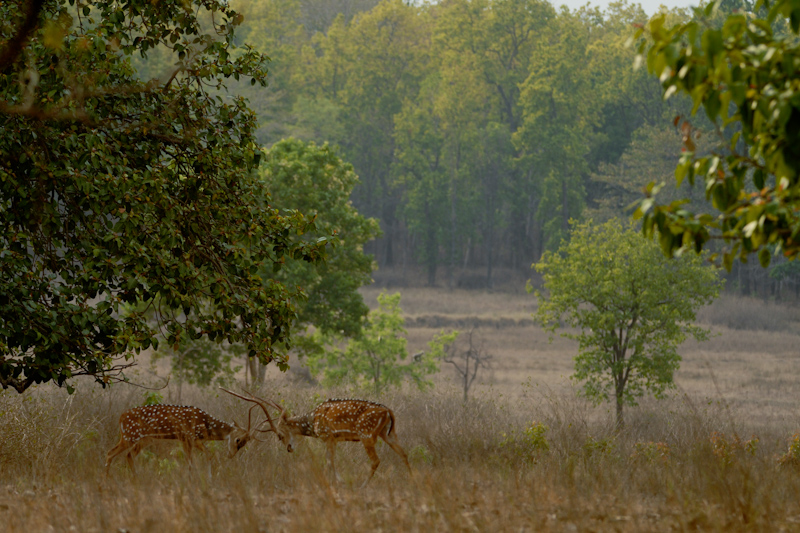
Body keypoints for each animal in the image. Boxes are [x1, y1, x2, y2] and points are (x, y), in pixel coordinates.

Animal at [104, 404, 260, 474]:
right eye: (238, 440)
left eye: (245, 443)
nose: (231, 455)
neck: (204, 424)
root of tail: (121, 417)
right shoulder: (188, 437)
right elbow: (190, 462)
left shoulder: (191, 440)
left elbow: (209, 455)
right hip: (130, 436)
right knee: (110, 452)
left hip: (144, 439)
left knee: (128, 455)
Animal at [220, 386, 412, 486]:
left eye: (280, 435)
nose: (289, 448)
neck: (312, 421)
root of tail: (389, 412)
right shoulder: (334, 439)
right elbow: (330, 461)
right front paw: (337, 480)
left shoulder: (327, 436)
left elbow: (329, 462)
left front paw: (336, 481)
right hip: (388, 433)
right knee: (403, 453)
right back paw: (412, 478)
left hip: (367, 434)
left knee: (376, 460)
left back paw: (363, 485)